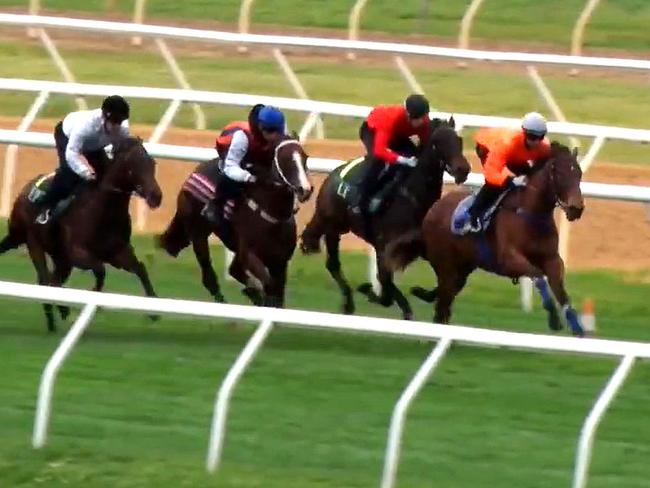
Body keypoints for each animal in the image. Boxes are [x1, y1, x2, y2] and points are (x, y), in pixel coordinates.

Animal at [0, 135, 162, 330]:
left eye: (152, 163)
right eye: (134, 166)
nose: (156, 196)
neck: (103, 212)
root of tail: (24, 192)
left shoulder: (119, 252)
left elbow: (140, 268)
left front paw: (153, 311)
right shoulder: (78, 253)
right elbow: (100, 270)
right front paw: (93, 302)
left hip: (61, 258)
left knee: (53, 281)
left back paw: (55, 317)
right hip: (35, 244)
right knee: (46, 280)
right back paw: (60, 312)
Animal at [154, 135, 312, 306]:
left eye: (305, 158)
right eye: (285, 160)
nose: (305, 190)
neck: (273, 217)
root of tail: (195, 172)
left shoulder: (280, 262)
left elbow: (277, 296)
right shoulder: (250, 255)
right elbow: (268, 287)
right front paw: (256, 293)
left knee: (234, 270)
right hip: (198, 234)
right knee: (209, 277)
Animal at [296, 118, 468, 320]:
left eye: (459, 140)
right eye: (437, 143)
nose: (463, 169)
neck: (413, 198)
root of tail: (333, 175)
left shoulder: (420, 246)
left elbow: (449, 281)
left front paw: (419, 292)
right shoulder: (385, 247)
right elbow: (386, 285)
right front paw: (373, 292)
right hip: (332, 225)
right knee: (333, 264)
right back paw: (348, 303)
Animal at [388, 141, 584, 336]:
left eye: (579, 173)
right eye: (559, 173)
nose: (577, 208)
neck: (530, 214)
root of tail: (432, 211)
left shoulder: (552, 259)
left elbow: (561, 292)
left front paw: (577, 327)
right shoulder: (510, 260)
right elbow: (538, 276)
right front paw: (554, 318)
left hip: (462, 271)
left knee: (444, 306)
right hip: (446, 269)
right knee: (441, 308)